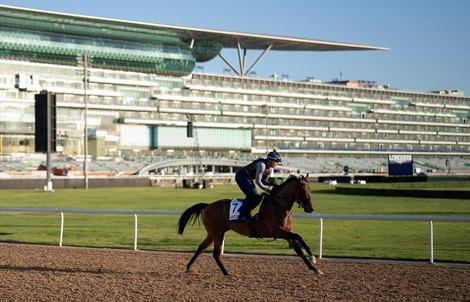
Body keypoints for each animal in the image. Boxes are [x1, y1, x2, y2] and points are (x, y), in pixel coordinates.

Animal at [177, 175, 324, 276]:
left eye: (311, 189)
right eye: (304, 190)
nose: (311, 208)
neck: (278, 205)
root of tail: (207, 206)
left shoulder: (286, 233)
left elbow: (298, 247)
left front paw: (314, 267)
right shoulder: (277, 231)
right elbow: (298, 236)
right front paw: (313, 257)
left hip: (213, 233)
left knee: (201, 248)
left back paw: (189, 267)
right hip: (218, 233)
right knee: (215, 254)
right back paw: (226, 272)